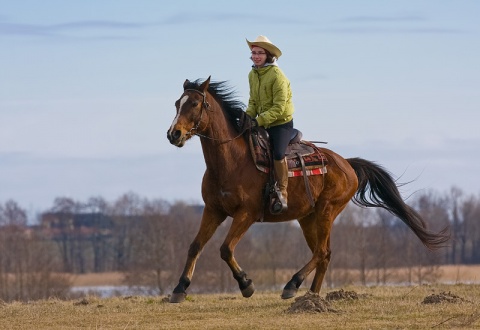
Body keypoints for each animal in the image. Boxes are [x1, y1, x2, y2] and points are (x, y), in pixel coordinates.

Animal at [166, 76, 450, 302]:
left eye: (194, 104)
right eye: (177, 103)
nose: (173, 134)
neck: (232, 161)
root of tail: (347, 164)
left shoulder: (246, 214)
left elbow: (225, 249)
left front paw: (246, 284)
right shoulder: (213, 210)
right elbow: (195, 246)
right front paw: (180, 288)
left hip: (326, 211)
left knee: (322, 252)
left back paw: (292, 285)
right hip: (308, 218)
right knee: (323, 254)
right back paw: (312, 295)